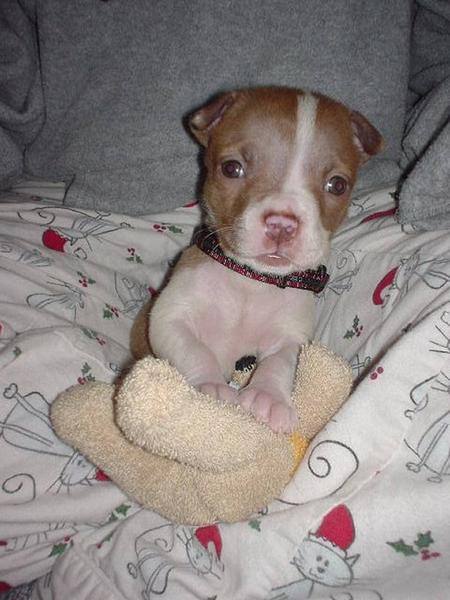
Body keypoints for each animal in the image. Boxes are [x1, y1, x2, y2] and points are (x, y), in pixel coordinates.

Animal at [146, 86, 382, 432]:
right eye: (232, 168)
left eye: (337, 185)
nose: (282, 224)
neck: (252, 279)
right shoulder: (168, 319)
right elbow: (193, 349)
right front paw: (210, 387)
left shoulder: (291, 337)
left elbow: (280, 362)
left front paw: (268, 396)